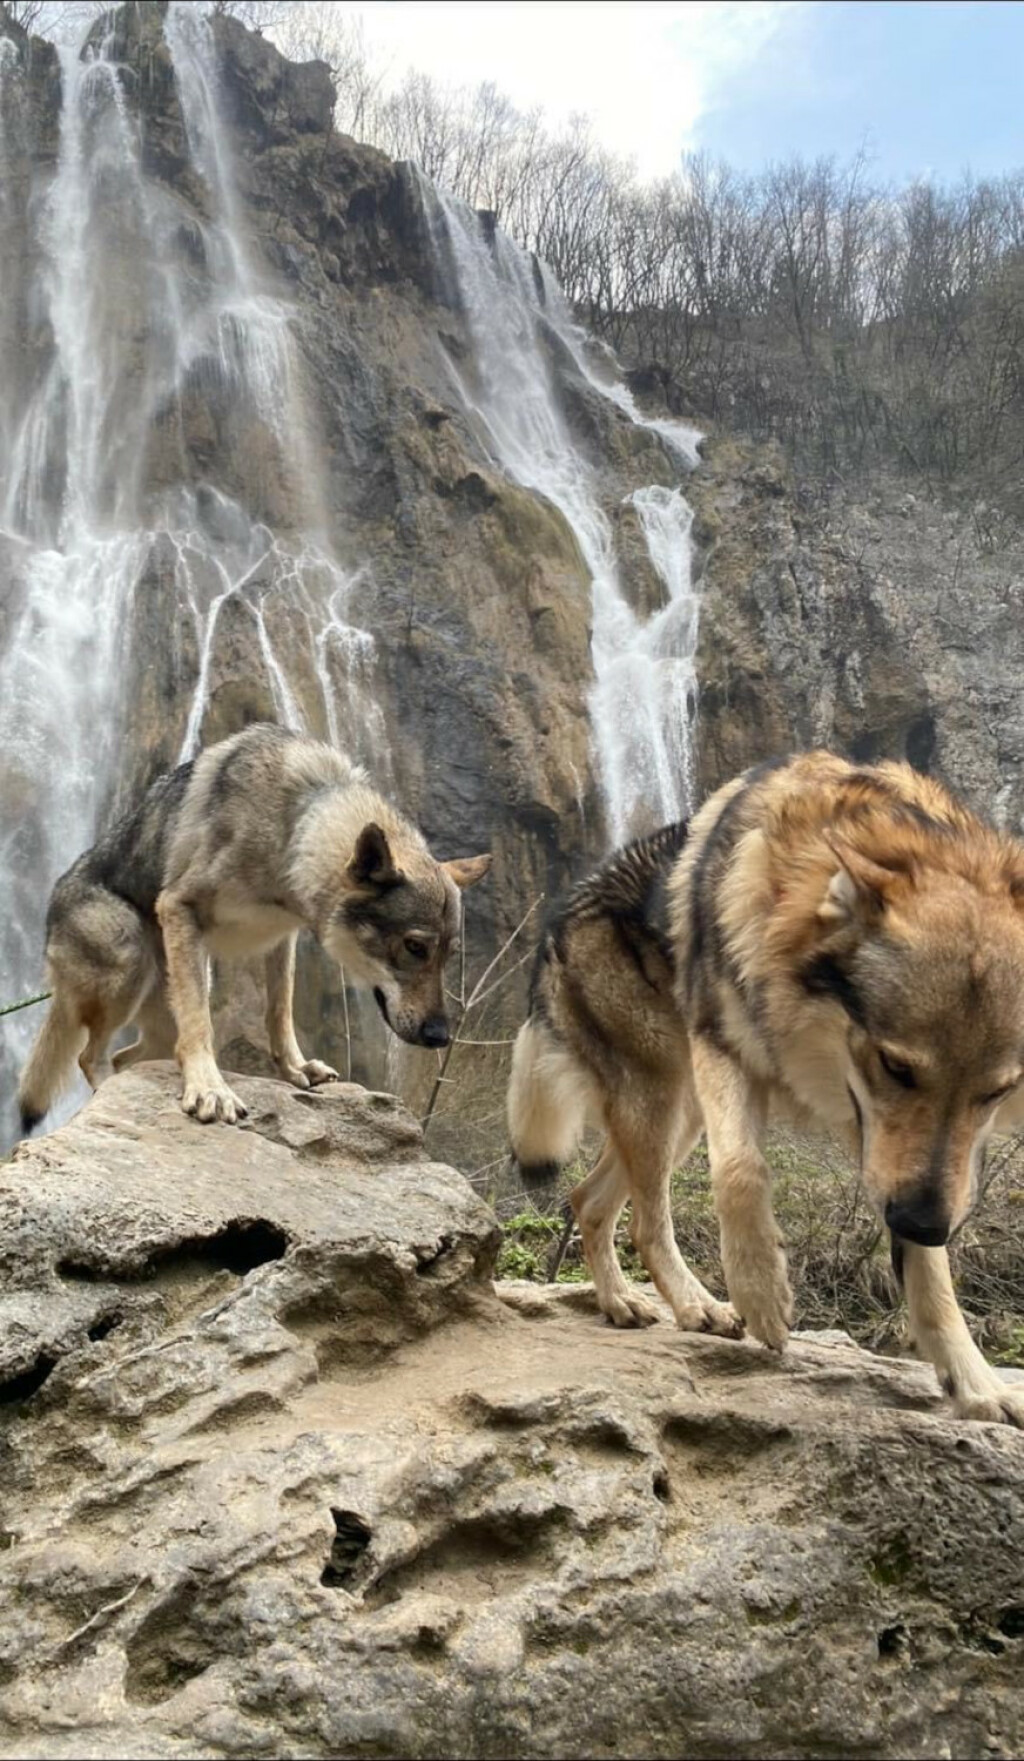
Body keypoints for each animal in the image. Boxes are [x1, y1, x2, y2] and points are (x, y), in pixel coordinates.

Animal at [19, 724, 491, 1132]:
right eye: (414, 947)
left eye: (448, 955)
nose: (440, 1036)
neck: (293, 827)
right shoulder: (178, 905)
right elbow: (203, 1027)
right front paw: (210, 1090)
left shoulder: (282, 937)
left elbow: (279, 1011)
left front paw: (295, 1069)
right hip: (129, 963)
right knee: (90, 1057)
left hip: (165, 1014)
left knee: (126, 1058)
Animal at [509, 752, 1024, 1426]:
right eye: (897, 1067)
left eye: (996, 1092)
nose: (924, 1222)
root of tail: (558, 919)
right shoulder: (725, 1051)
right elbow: (741, 1173)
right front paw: (762, 1297)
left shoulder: (898, 1155)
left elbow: (930, 1278)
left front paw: (976, 1384)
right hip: (664, 1100)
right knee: (645, 1221)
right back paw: (698, 1305)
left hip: (676, 1117)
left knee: (588, 1201)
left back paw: (624, 1302)